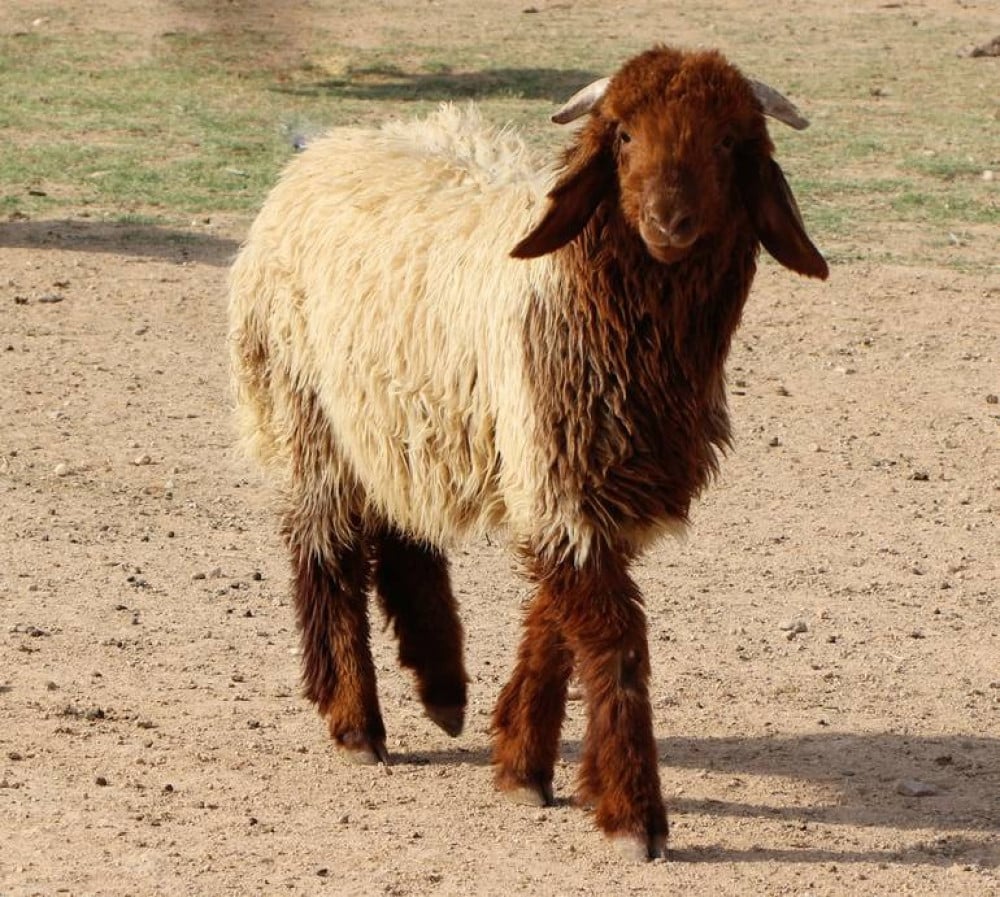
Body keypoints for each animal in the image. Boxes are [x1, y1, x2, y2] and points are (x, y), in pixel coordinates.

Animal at [227, 45, 828, 856]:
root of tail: (323, 148)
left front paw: (520, 762)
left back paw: (443, 687)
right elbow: (611, 635)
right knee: (326, 546)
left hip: (404, 418)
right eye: (624, 137)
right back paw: (355, 719)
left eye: (731, 143)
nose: (670, 221)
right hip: (308, 406)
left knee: (403, 529)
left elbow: (556, 618)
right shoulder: (560, 472)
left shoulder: (590, 477)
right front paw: (634, 815)